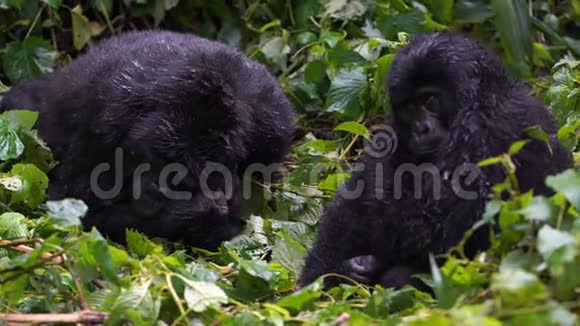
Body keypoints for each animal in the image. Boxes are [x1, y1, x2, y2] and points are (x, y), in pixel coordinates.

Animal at [1, 30, 294, 250]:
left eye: (185, 173)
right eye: (162, 160)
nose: (155, 188)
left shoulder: (273, 123)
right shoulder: (107, 122)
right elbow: (76, 202)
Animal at [302, 31, 572, 290]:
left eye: (430, 100)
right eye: (409, 107)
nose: (420, 129)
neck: (487, 90)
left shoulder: (484, 125)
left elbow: (435, 228)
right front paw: (327, 273)